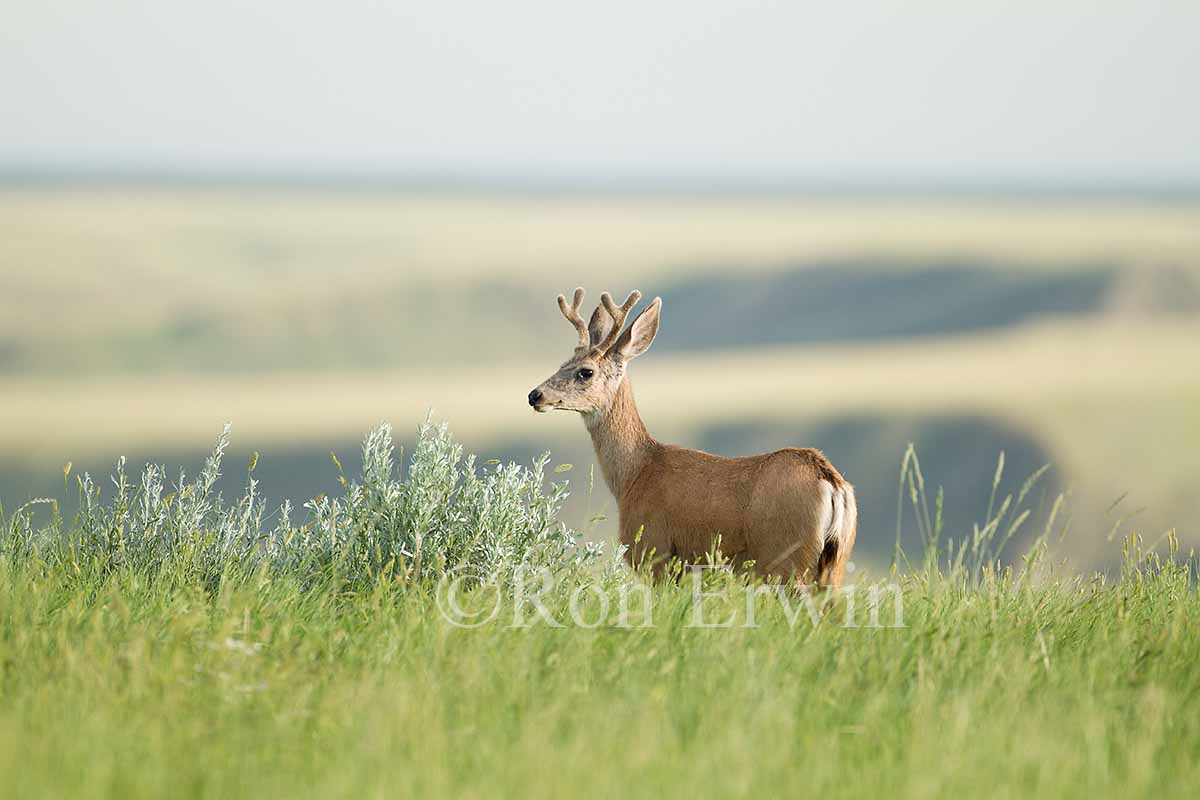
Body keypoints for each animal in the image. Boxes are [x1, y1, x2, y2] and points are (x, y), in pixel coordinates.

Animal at [527, 288, 857, 588]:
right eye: (561, 364)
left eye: (585, 372)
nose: (535, 395)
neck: (634, 475)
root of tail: (831, 483)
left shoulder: (655, 550)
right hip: (834, 564)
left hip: (786, 560)